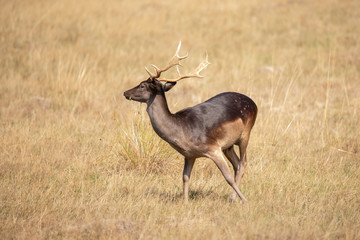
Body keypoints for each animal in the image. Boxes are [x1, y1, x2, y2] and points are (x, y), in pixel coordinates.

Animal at [124, 41, 258, 202]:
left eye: (142, 85)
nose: (125, 92)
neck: (182, 130)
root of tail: (254, 104)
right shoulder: (189, 155)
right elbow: (185, 177)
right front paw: (185, 202)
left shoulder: (213, 148)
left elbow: (227, 177)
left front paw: (245, 200)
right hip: (228, 145)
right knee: (237, 164)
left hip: (245, 134)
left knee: (243, 163)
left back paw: (234, 198)